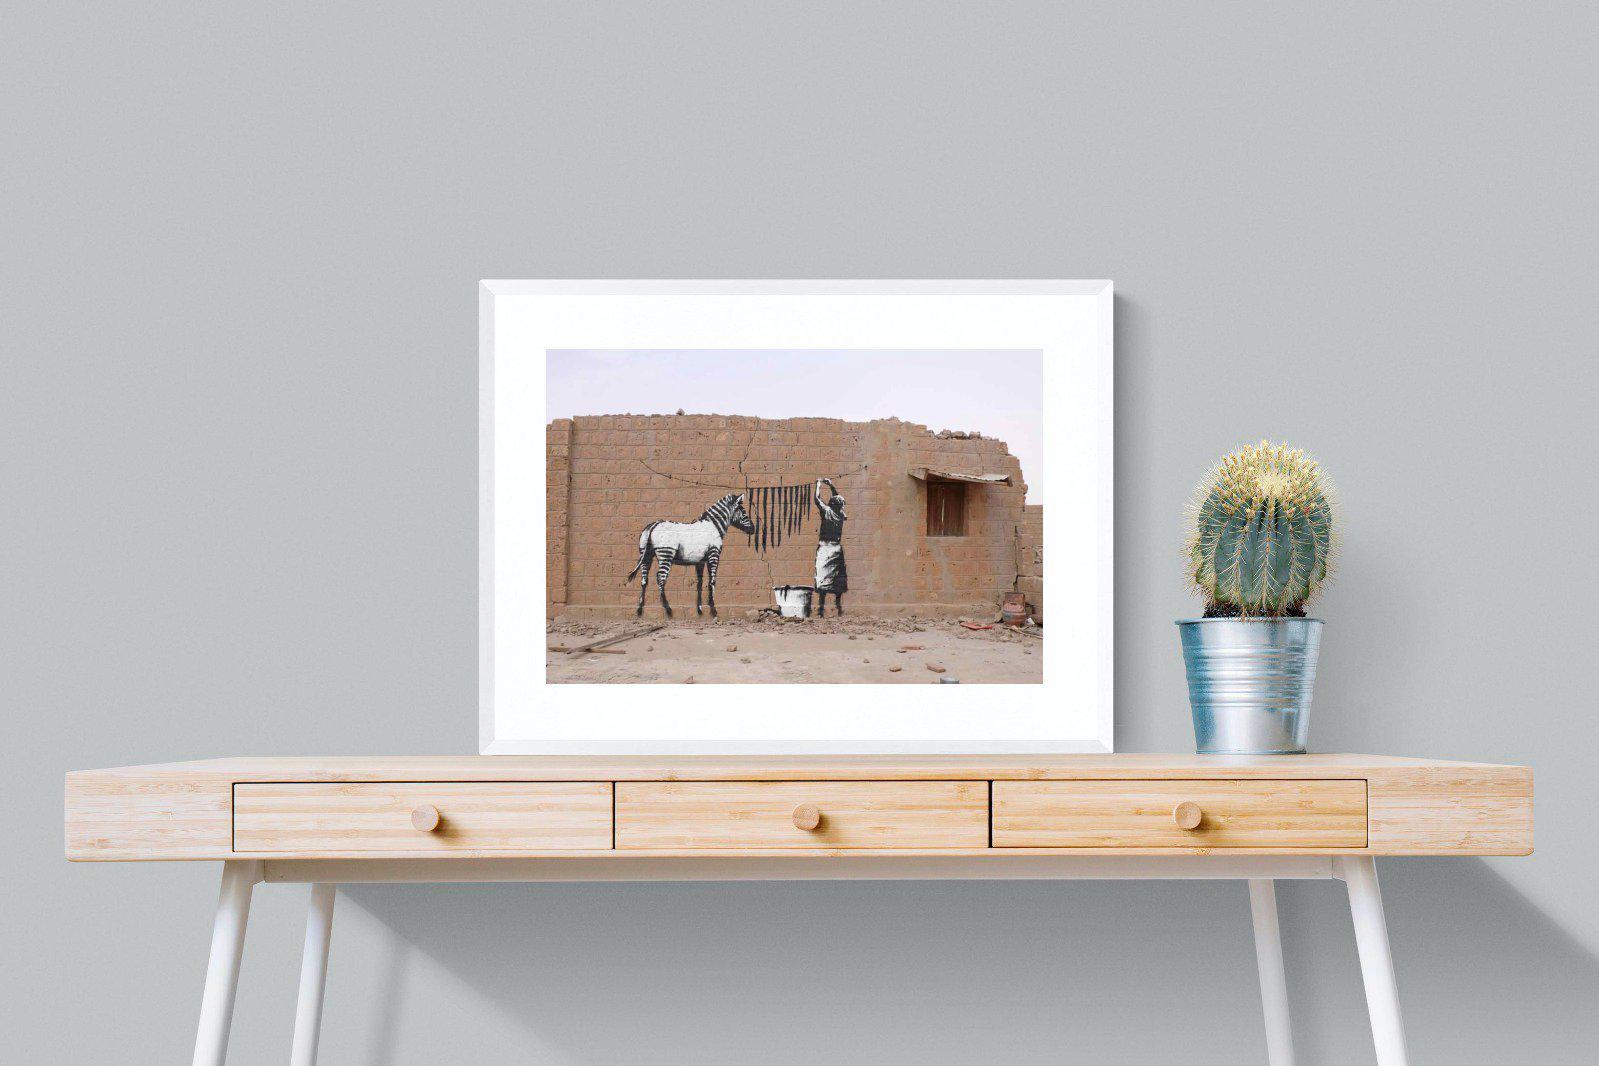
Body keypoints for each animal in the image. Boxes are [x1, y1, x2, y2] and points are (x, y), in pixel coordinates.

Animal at [623, 493, 756, 618]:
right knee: (660, 578)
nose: (753, 529)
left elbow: (700, 583)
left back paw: (640, 609)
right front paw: (713, 609)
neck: (714, 526)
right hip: (666, 553)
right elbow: (712, 581)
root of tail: (654, 525)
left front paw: (700, 609)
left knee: (644, 579)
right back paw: (668, 609)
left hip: (646, 555)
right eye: (744, 512)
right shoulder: (714, 555)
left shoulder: (700, 561)